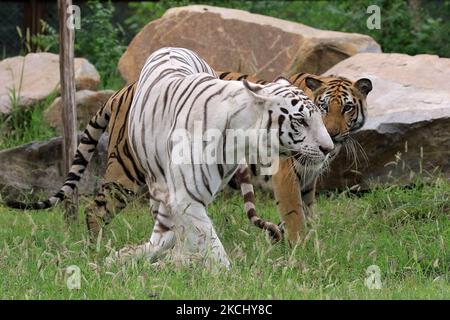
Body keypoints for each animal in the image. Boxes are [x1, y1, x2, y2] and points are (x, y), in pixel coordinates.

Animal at [116, 47, 334, 268]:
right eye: (301, 121)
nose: (329, 148)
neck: (240, 139)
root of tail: (172, 47)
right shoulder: (186, 198)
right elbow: (212, 248)